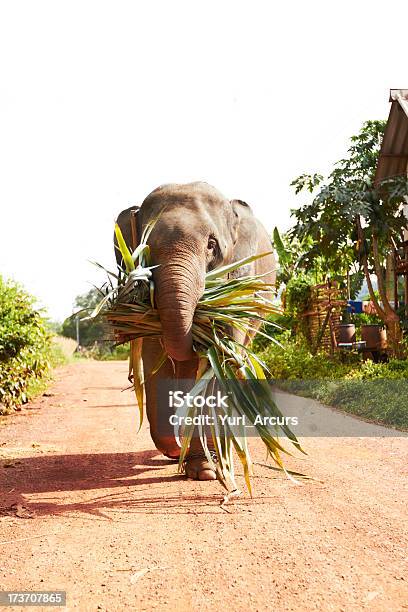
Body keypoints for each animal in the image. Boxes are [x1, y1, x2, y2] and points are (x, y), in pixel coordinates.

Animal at [115, 184, 278, 480]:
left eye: (211, 245)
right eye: (146, 248)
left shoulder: (240, 280)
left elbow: (217, 364)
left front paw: (207, 469)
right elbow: (157, 362)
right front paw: (188, 458)